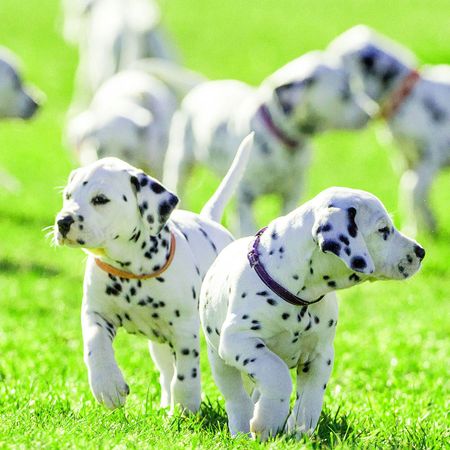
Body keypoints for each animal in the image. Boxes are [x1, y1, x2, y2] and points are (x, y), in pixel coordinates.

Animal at [52, 133, 253, 412]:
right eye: (68, 196)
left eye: (100, 199)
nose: (63, 222)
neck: (130, 271)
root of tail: (210, 220)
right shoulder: (96, 314)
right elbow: (95, 345)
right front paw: (107, 385)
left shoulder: (184, 329)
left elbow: (186, 373)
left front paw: (187, 405)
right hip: (159, 345)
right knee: (166, 370)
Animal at [163, 51, 374, 236]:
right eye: (344, 94)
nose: (369, 114)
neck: (281, 141)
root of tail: (205, 87)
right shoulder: (246, 197)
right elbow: (248, 226)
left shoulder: (291, 193)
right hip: (181, 159)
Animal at [200, 185, 426, 440]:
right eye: (383, 229)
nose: (421, 251)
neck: (298, 294)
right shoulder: (241, 341)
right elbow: (277, 374)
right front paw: (268, 420)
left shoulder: (320, 355)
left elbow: (309, 399)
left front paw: (299, 433)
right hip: (220, 360)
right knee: (236, 396)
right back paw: (241, 428)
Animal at [326, 24, 450, 236]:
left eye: (338, 59)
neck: (407, 96)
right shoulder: (407, 159)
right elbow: (413, 190)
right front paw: (427, 226)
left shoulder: (429, 157)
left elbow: (413, 191)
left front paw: (416, 230)